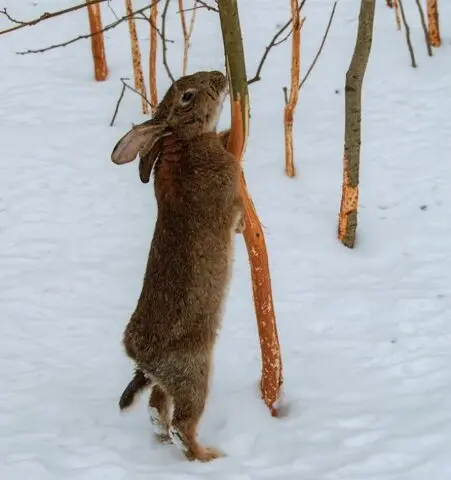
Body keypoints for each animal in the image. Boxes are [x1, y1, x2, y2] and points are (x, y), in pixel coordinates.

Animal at [112, 70, 245, 462]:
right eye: (186, 96)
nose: (219, 75)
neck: (183, 141)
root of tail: (140, 357)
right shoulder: (229, 193)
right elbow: (236, 212)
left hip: (168, 382)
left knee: (156, 409)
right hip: (194, 371)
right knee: (181, 423)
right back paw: (209, 457)